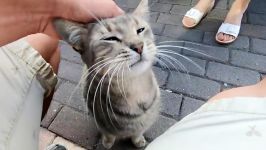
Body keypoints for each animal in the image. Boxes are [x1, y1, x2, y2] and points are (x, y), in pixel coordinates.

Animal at [53, 0, 159, 148]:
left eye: (140, 30)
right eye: (111, 38)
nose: (139, 46)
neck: (135, 89)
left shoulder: (145, 122)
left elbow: (138, 132)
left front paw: (138, 140)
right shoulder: (103, 124)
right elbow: (109, 135)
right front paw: (107, 143)